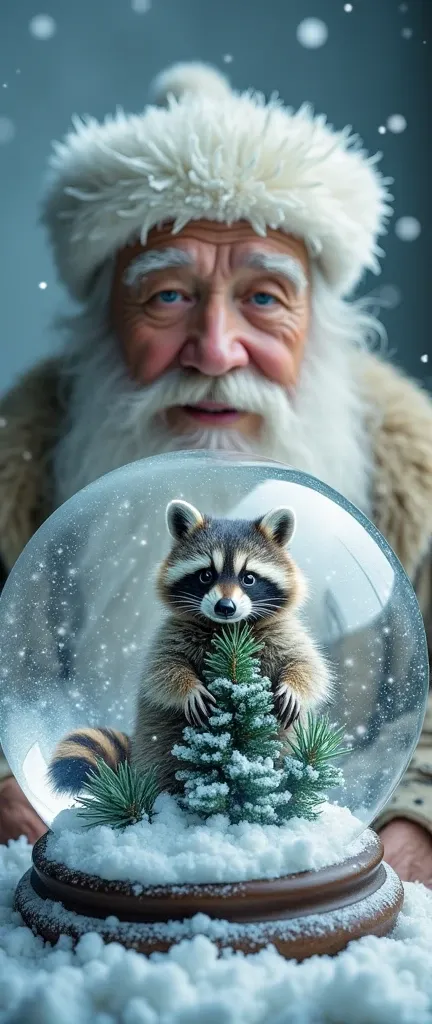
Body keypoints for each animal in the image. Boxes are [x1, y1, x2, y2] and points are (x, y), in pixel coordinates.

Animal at [48, 499, 331, 794]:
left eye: (248, 578)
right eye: (206, 575)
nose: (225, 607)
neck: (227, 628)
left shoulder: (282, 631)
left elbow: (309, 664)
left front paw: (293, 686)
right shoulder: (172, 632)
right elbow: (161, 670)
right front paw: (188, 688)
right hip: (158, 743)